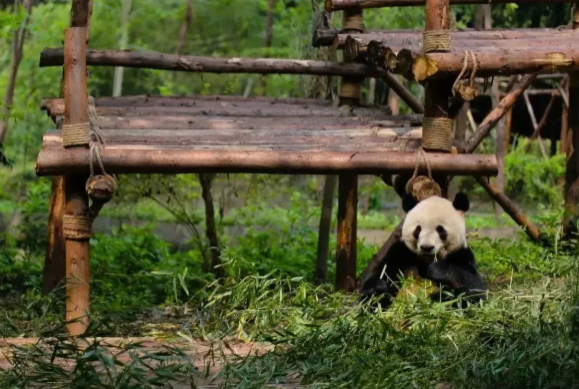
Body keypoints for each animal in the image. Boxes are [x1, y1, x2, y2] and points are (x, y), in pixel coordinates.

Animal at [360, 192, 488, 308]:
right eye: (418, 229)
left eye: (440, 230)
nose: (427, 247)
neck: (426, 261)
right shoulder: (402, 253)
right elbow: (385, 273)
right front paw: (376, 289)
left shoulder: (461, 254)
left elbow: (476, 292)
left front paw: (438, 271)